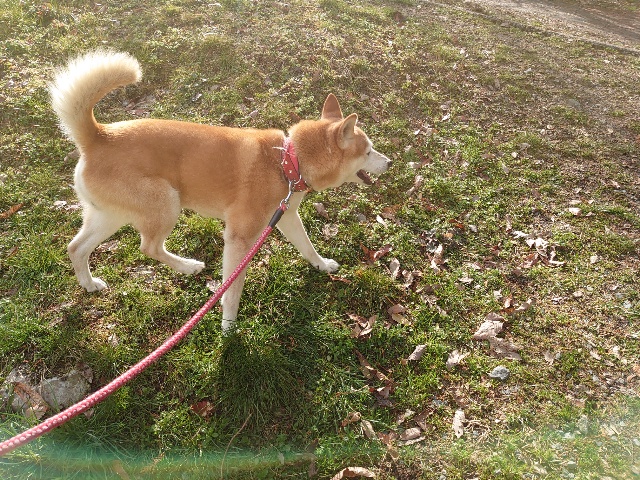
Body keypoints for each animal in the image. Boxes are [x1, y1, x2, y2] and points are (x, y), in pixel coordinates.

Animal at [50, 51, 391, 331]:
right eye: (368, 151)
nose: (390, 162)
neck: (287, 161)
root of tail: (98, 136)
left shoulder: (287, 218)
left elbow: (307, 247)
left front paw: (322, 266)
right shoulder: (240, 239)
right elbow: (233, 288)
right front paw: (229, 325)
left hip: (110, 216)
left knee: (76, 248)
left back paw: (89, 283)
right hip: (166, 202)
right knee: (148, 247)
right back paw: (187, 266)